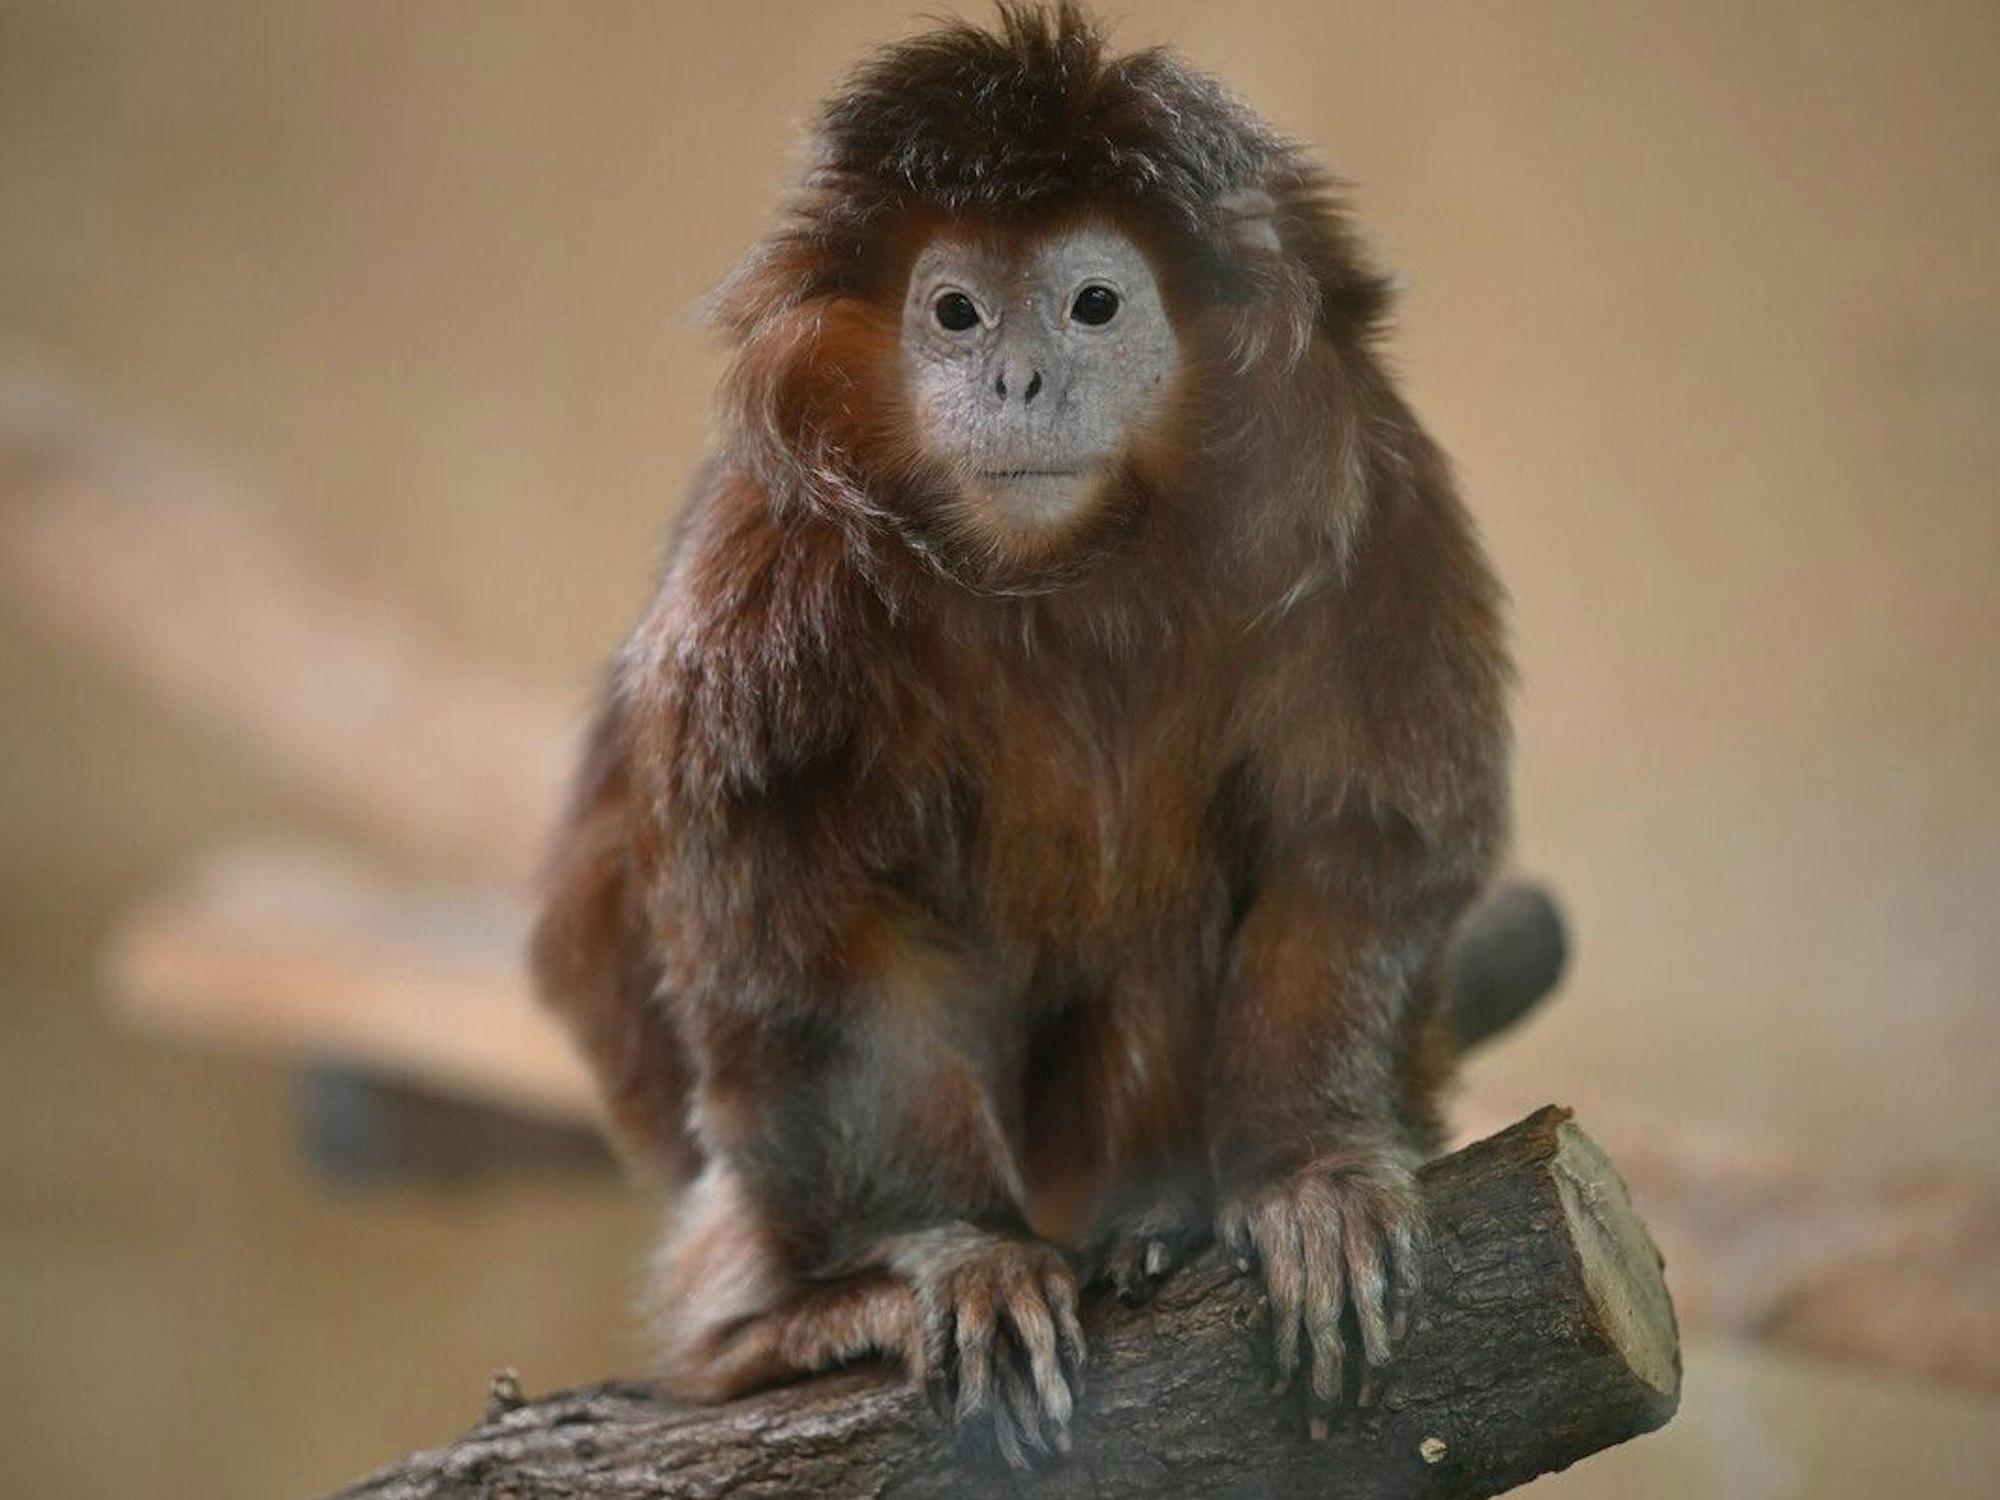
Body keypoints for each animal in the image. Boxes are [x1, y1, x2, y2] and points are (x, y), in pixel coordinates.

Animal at [531, 2, 1559, 1469]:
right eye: (955, 313)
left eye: (1093, 304)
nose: (1018, 376)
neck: (1071, 572)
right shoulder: (771, 570)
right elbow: (799, 929)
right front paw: (956, 1251)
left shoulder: (1373, 510)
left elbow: (1356, 851)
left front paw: (1308, 1176)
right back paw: (777, 1328)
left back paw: (1151, 1224)